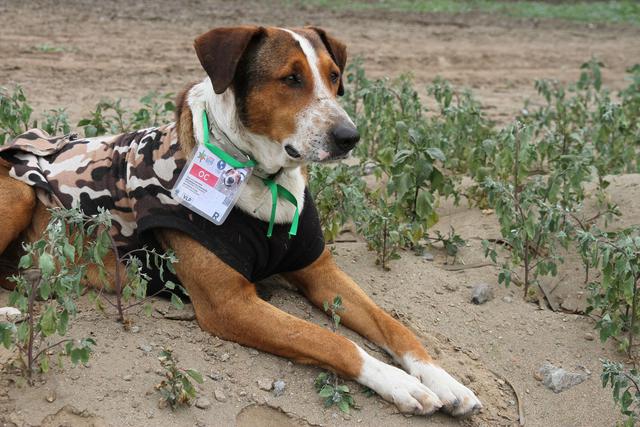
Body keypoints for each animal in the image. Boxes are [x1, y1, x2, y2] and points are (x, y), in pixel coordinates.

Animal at [0, 25, 480, 418]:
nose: (349, 137)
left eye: (334, 76)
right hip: (19, 191)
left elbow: (394, 325)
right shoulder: (229, 304)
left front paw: (444, 380)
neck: (266, 179)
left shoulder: (319, 271)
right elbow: (330, 340)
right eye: (290, 78)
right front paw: (400, 384)